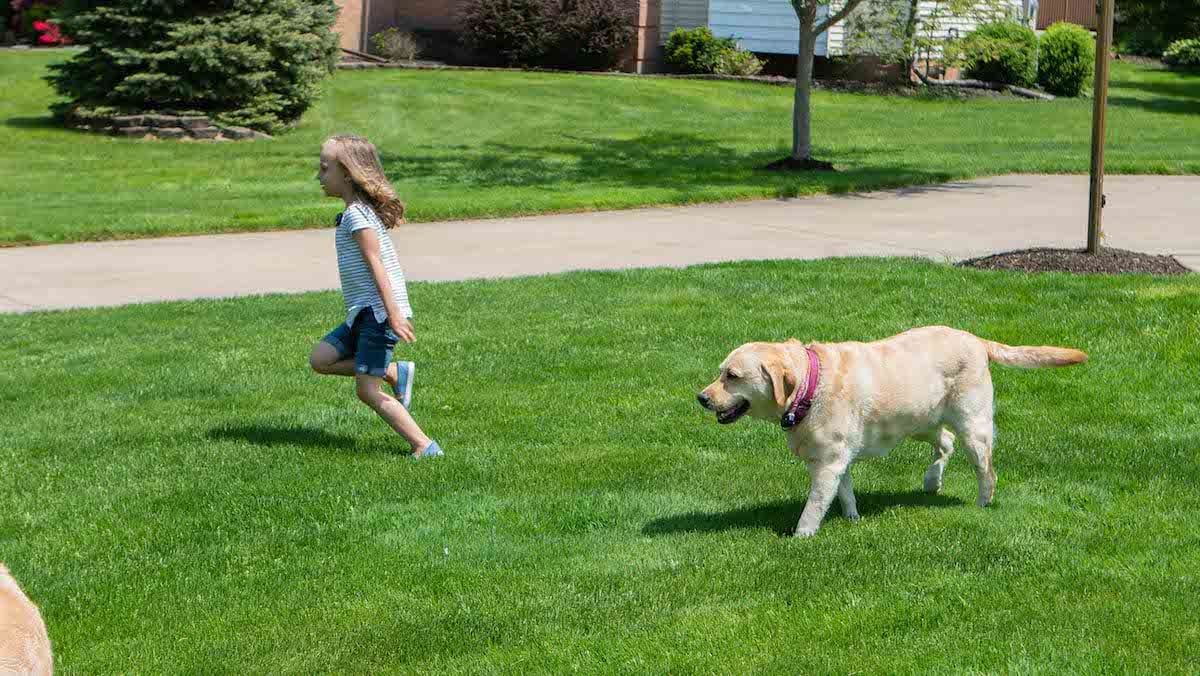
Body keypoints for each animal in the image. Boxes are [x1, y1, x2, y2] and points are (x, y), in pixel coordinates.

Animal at [696, 328, 1089, 540]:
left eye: (732, 376)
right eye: (720, 372)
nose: (701, 397)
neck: (810, 385)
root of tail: (976, 340)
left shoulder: (828, 463)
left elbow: (815, 505)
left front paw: (801, 536)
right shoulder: (837, 460)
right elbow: (845, 493)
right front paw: (852, 519)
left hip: (972, 427)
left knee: (985, 470)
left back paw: (982, 504)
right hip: (919, 421)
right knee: (944, 443)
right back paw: (931, 481)